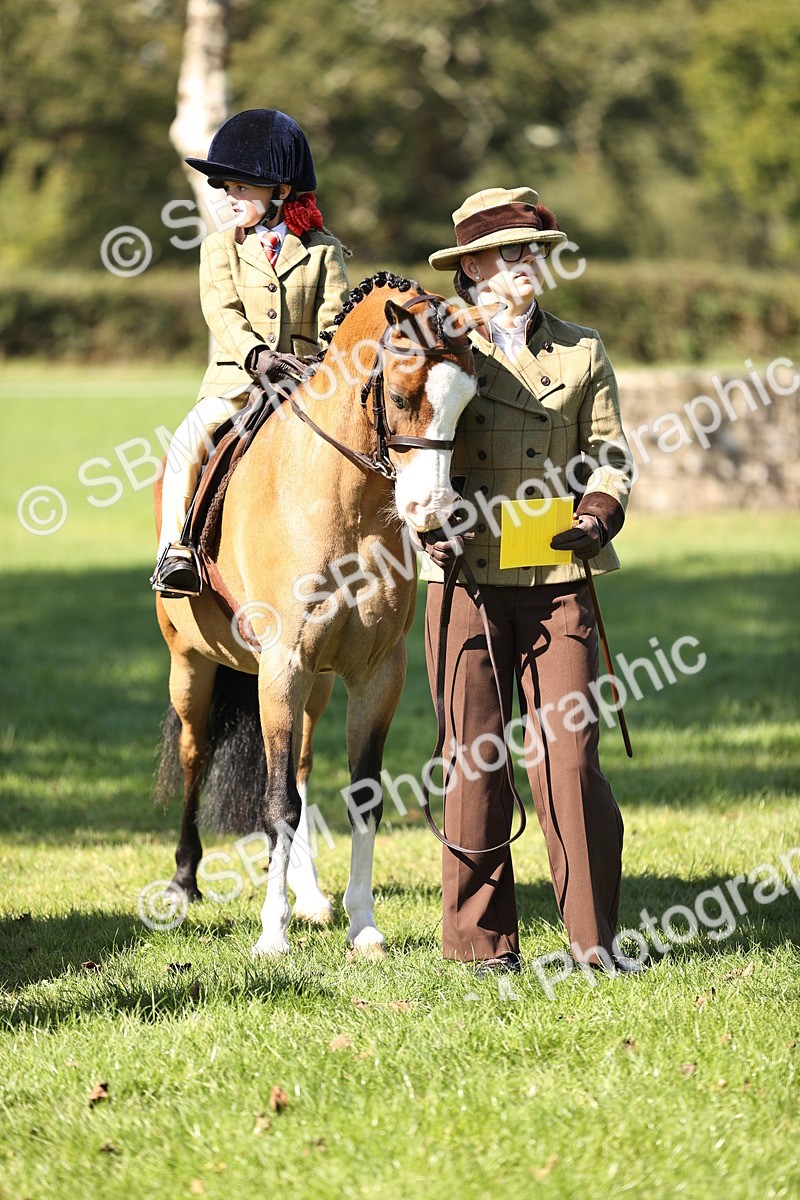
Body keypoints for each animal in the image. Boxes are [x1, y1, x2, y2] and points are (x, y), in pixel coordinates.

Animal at [153, 273, 477, 956]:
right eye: (402, 396)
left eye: (469, 405)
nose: (434, 513)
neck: (346, 503)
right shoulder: (284, 666)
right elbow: (277, 804)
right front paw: (271, 936)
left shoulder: (376, 675)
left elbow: (360, 796)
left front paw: (363, 925)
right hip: (191, 667)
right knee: (197, 757)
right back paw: (184, 882)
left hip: (316, 688)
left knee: (299, 769)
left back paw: (310, 896)